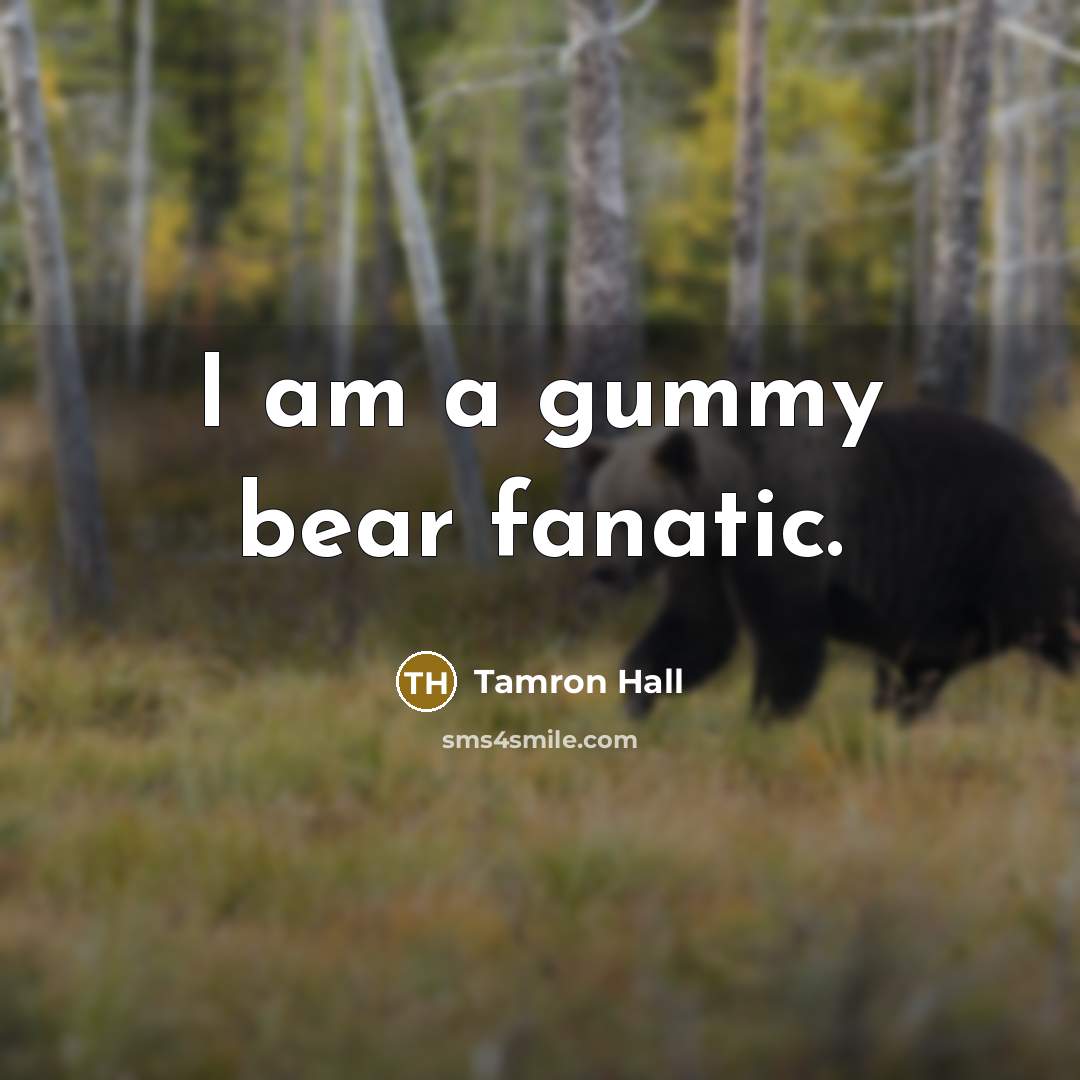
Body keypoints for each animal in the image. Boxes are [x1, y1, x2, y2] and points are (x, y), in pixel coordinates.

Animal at [583, 405, 1080, 722]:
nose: (604, 571)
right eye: (601, 511)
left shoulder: (786, 524)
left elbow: (788, 635)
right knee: (921, 670)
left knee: (1047, 630)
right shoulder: (704, 558)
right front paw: (637, 696)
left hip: (1007, 553)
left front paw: (766, 716)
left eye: (636, 512)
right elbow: (699, 627)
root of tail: (1064, 484)